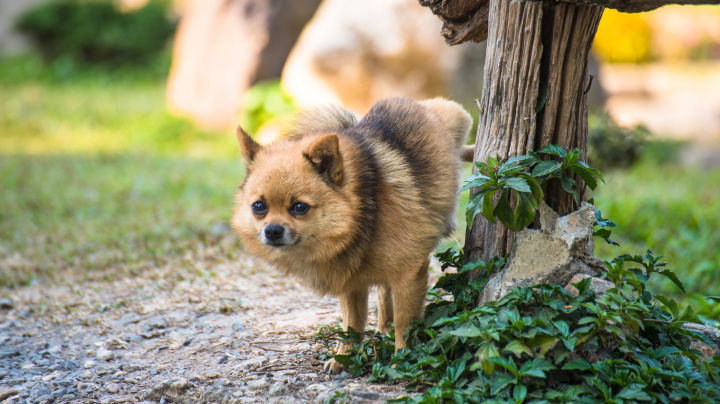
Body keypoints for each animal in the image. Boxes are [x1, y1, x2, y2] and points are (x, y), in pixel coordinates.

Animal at [233, 97, 476, 372]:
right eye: (259, 207)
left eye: (300, 207)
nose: (272, 231)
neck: (360, 218)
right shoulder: (352, 283)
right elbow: (353, 324)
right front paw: (345, 356)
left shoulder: (409, 275)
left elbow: (405, 323)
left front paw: (402, 359)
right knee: (383, 295)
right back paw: (383, 327)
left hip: (457, 117)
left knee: (462, 147)